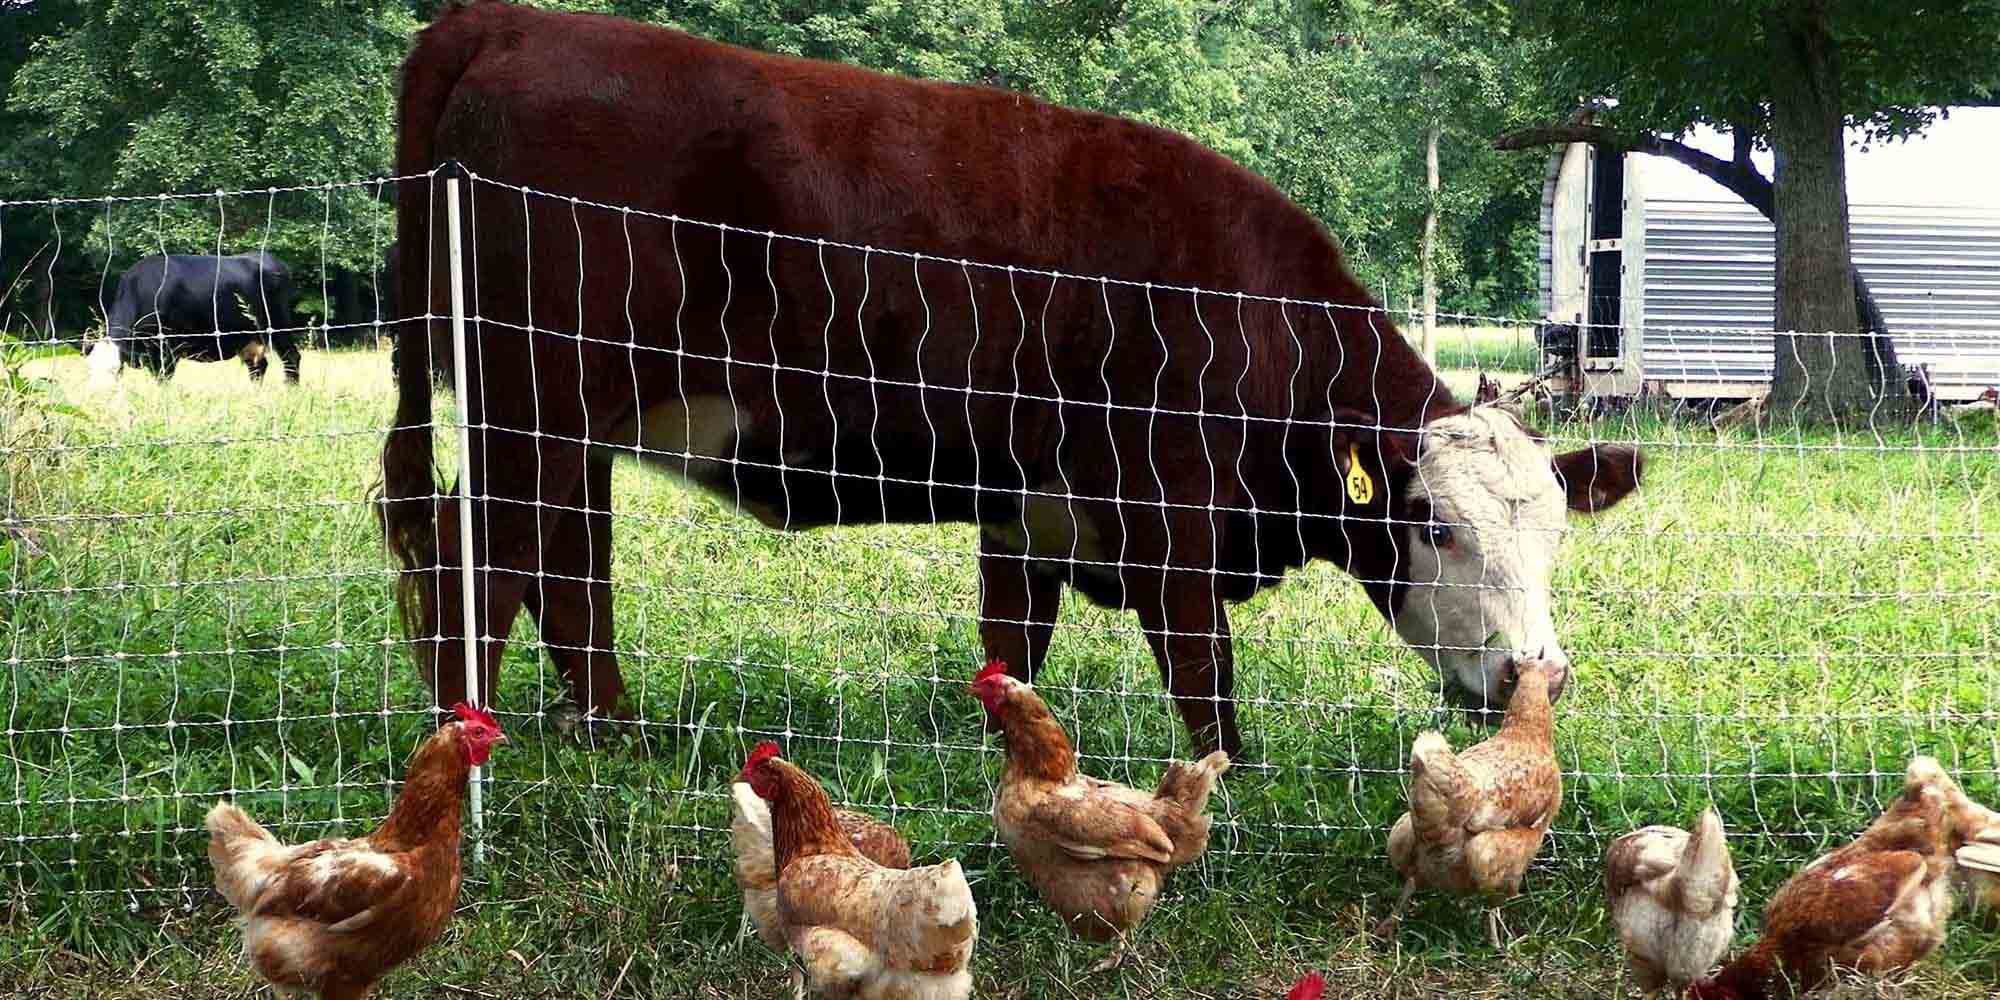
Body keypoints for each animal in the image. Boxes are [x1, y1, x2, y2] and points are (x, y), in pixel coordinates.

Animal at [102, 252, 302, 383]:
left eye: (114, 373)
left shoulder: (167, 350)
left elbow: (163, 379)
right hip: (248, 336)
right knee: (258, 366)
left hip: (277, 323)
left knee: (291, 357)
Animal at [381, 1, 1644, 757]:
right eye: (1434, 527)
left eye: (1552, 534)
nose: (1537, 675)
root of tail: (508, 20)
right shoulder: (1168, 510)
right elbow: (1203, 668)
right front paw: (1223, 787)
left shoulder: (1027, 507)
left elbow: (1012, 649)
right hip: (530, 407)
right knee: (478, 560)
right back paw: (472, 749)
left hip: (574, 423)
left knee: (566, 570)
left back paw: (612, 732)